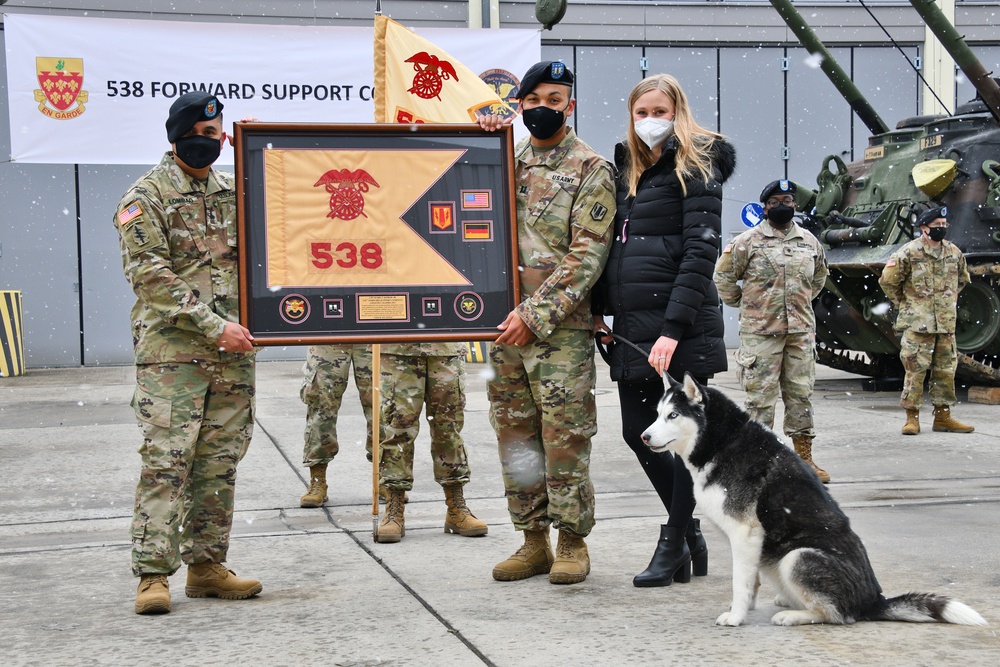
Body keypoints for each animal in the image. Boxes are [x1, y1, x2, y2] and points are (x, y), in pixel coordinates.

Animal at [640, 374, 984, 628]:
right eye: (657, 414)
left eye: (673, 415)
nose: (644, 436)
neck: (723, 441)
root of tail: (873, 600)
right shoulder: (748, 541)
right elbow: (749, 581)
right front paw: (746, 608)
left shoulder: (745, 532)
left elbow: (740, 581)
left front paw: (736, 616)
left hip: (798, 557)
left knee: (837, 615)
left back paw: (793, 615)